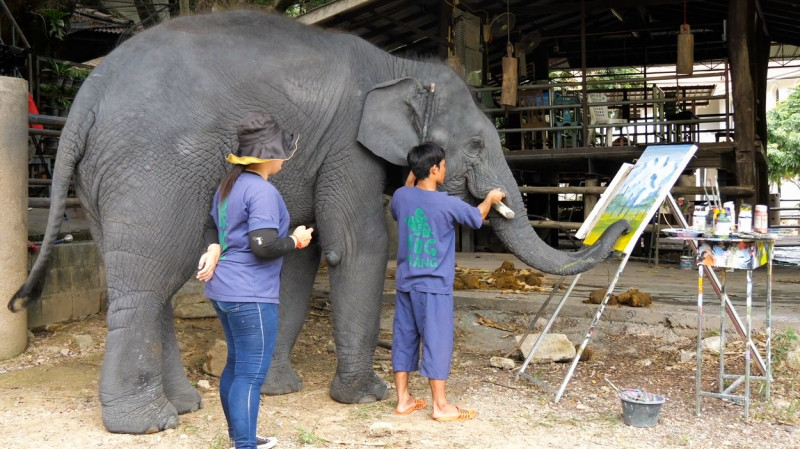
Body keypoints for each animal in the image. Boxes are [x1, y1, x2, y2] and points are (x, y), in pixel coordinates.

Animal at [7, 8, 632, 432]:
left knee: (152, 274)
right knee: (152, 273)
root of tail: (86, 97)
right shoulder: (346, 148)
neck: (401, 67)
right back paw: (148, 423)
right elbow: (357, 244)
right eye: (477, 144)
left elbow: (300, 255)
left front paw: (277, 390)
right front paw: (367, 396)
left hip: (105, 178)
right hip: (151, 165)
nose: (619, 223)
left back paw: (182, 406)